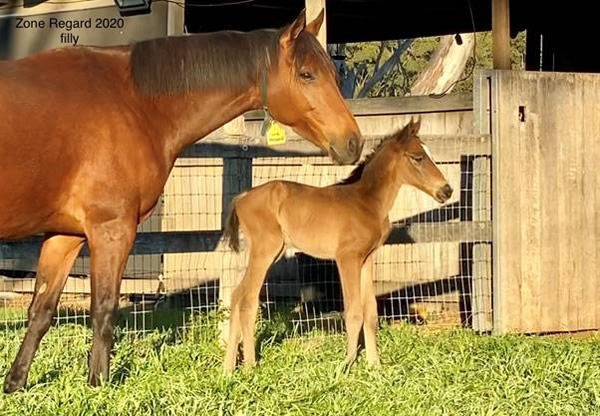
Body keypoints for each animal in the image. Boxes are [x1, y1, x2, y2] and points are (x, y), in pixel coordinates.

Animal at [223, 118, 452, 372]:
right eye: (418, 157)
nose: (447, 190)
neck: (366, 201)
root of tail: (241, 197)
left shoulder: (366, 259)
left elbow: (370, 311)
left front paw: (374, 365)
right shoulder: (347, 258)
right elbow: (353, 311)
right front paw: (347, 365)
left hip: (270, 253)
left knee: (236, 295)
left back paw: (228, 368)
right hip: (265, 251)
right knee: (247, 301)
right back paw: (250, 365)